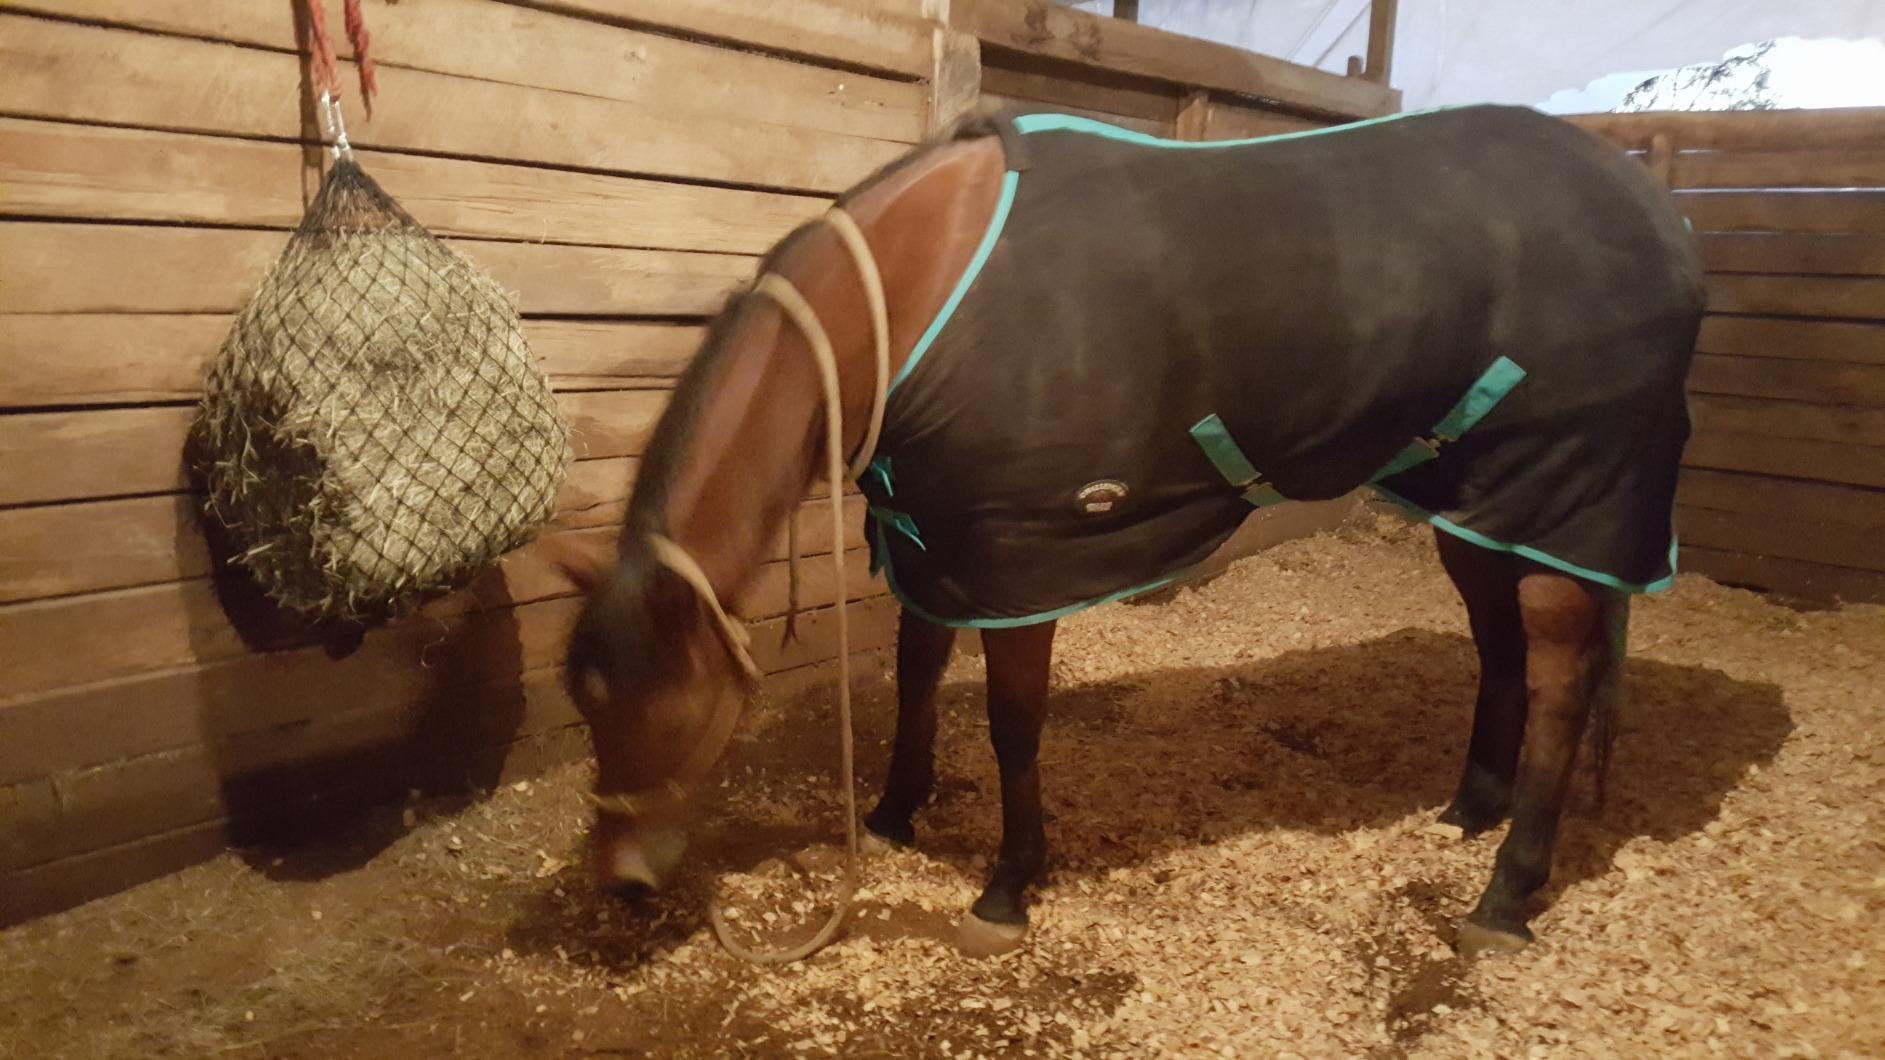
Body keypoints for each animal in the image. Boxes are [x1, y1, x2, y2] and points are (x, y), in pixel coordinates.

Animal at [553, 103, 1705, 960]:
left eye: (658, 702)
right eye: (584, 702)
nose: (618, 882)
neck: (921, 291)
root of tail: (1654, 207)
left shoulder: (1020, 556)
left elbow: (1013, 723)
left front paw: (1006, 887)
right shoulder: (933, 536)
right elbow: (919, 673)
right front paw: (891, 811)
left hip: (1566, 499)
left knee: (1559, 677)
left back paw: (1504, 896)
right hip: (1485, 503)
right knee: (1498, 647)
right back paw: (1469, 807)